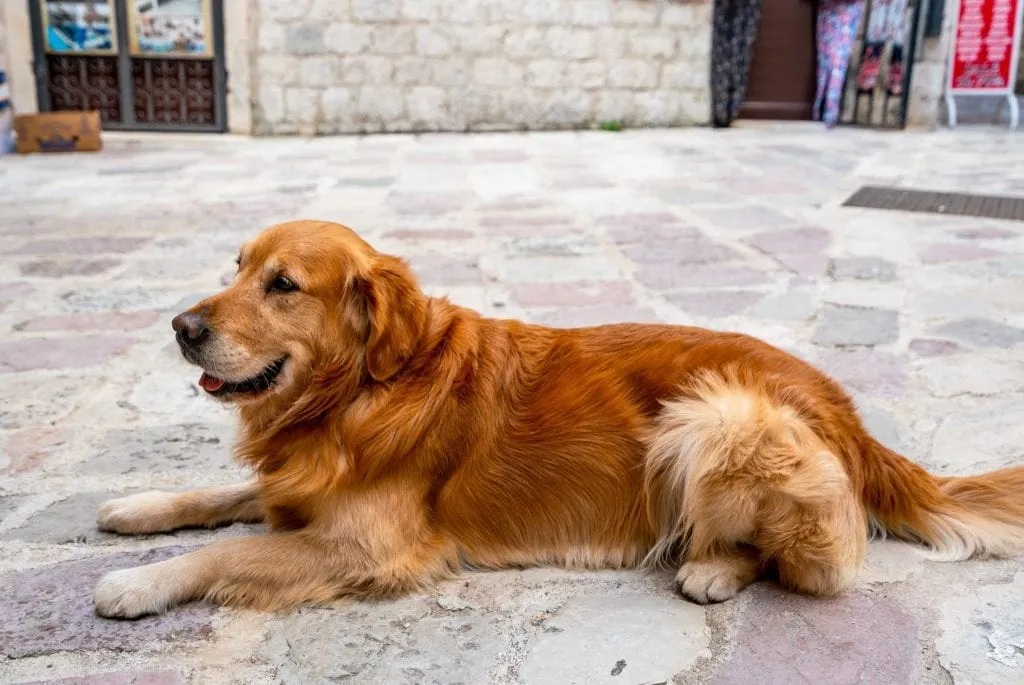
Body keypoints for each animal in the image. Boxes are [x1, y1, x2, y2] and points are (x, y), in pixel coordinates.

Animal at [94, 222, 1024, 618]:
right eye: (235, 267)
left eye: (282, 284)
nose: (181, 326)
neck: (358, 391)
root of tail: (844, 406)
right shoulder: (298, 487)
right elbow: (217, 497)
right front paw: (137, 508)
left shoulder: (366, 545)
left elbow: (227, 550)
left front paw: (138, 583)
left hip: (714, 415)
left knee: (812, 562)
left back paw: (714, 568)